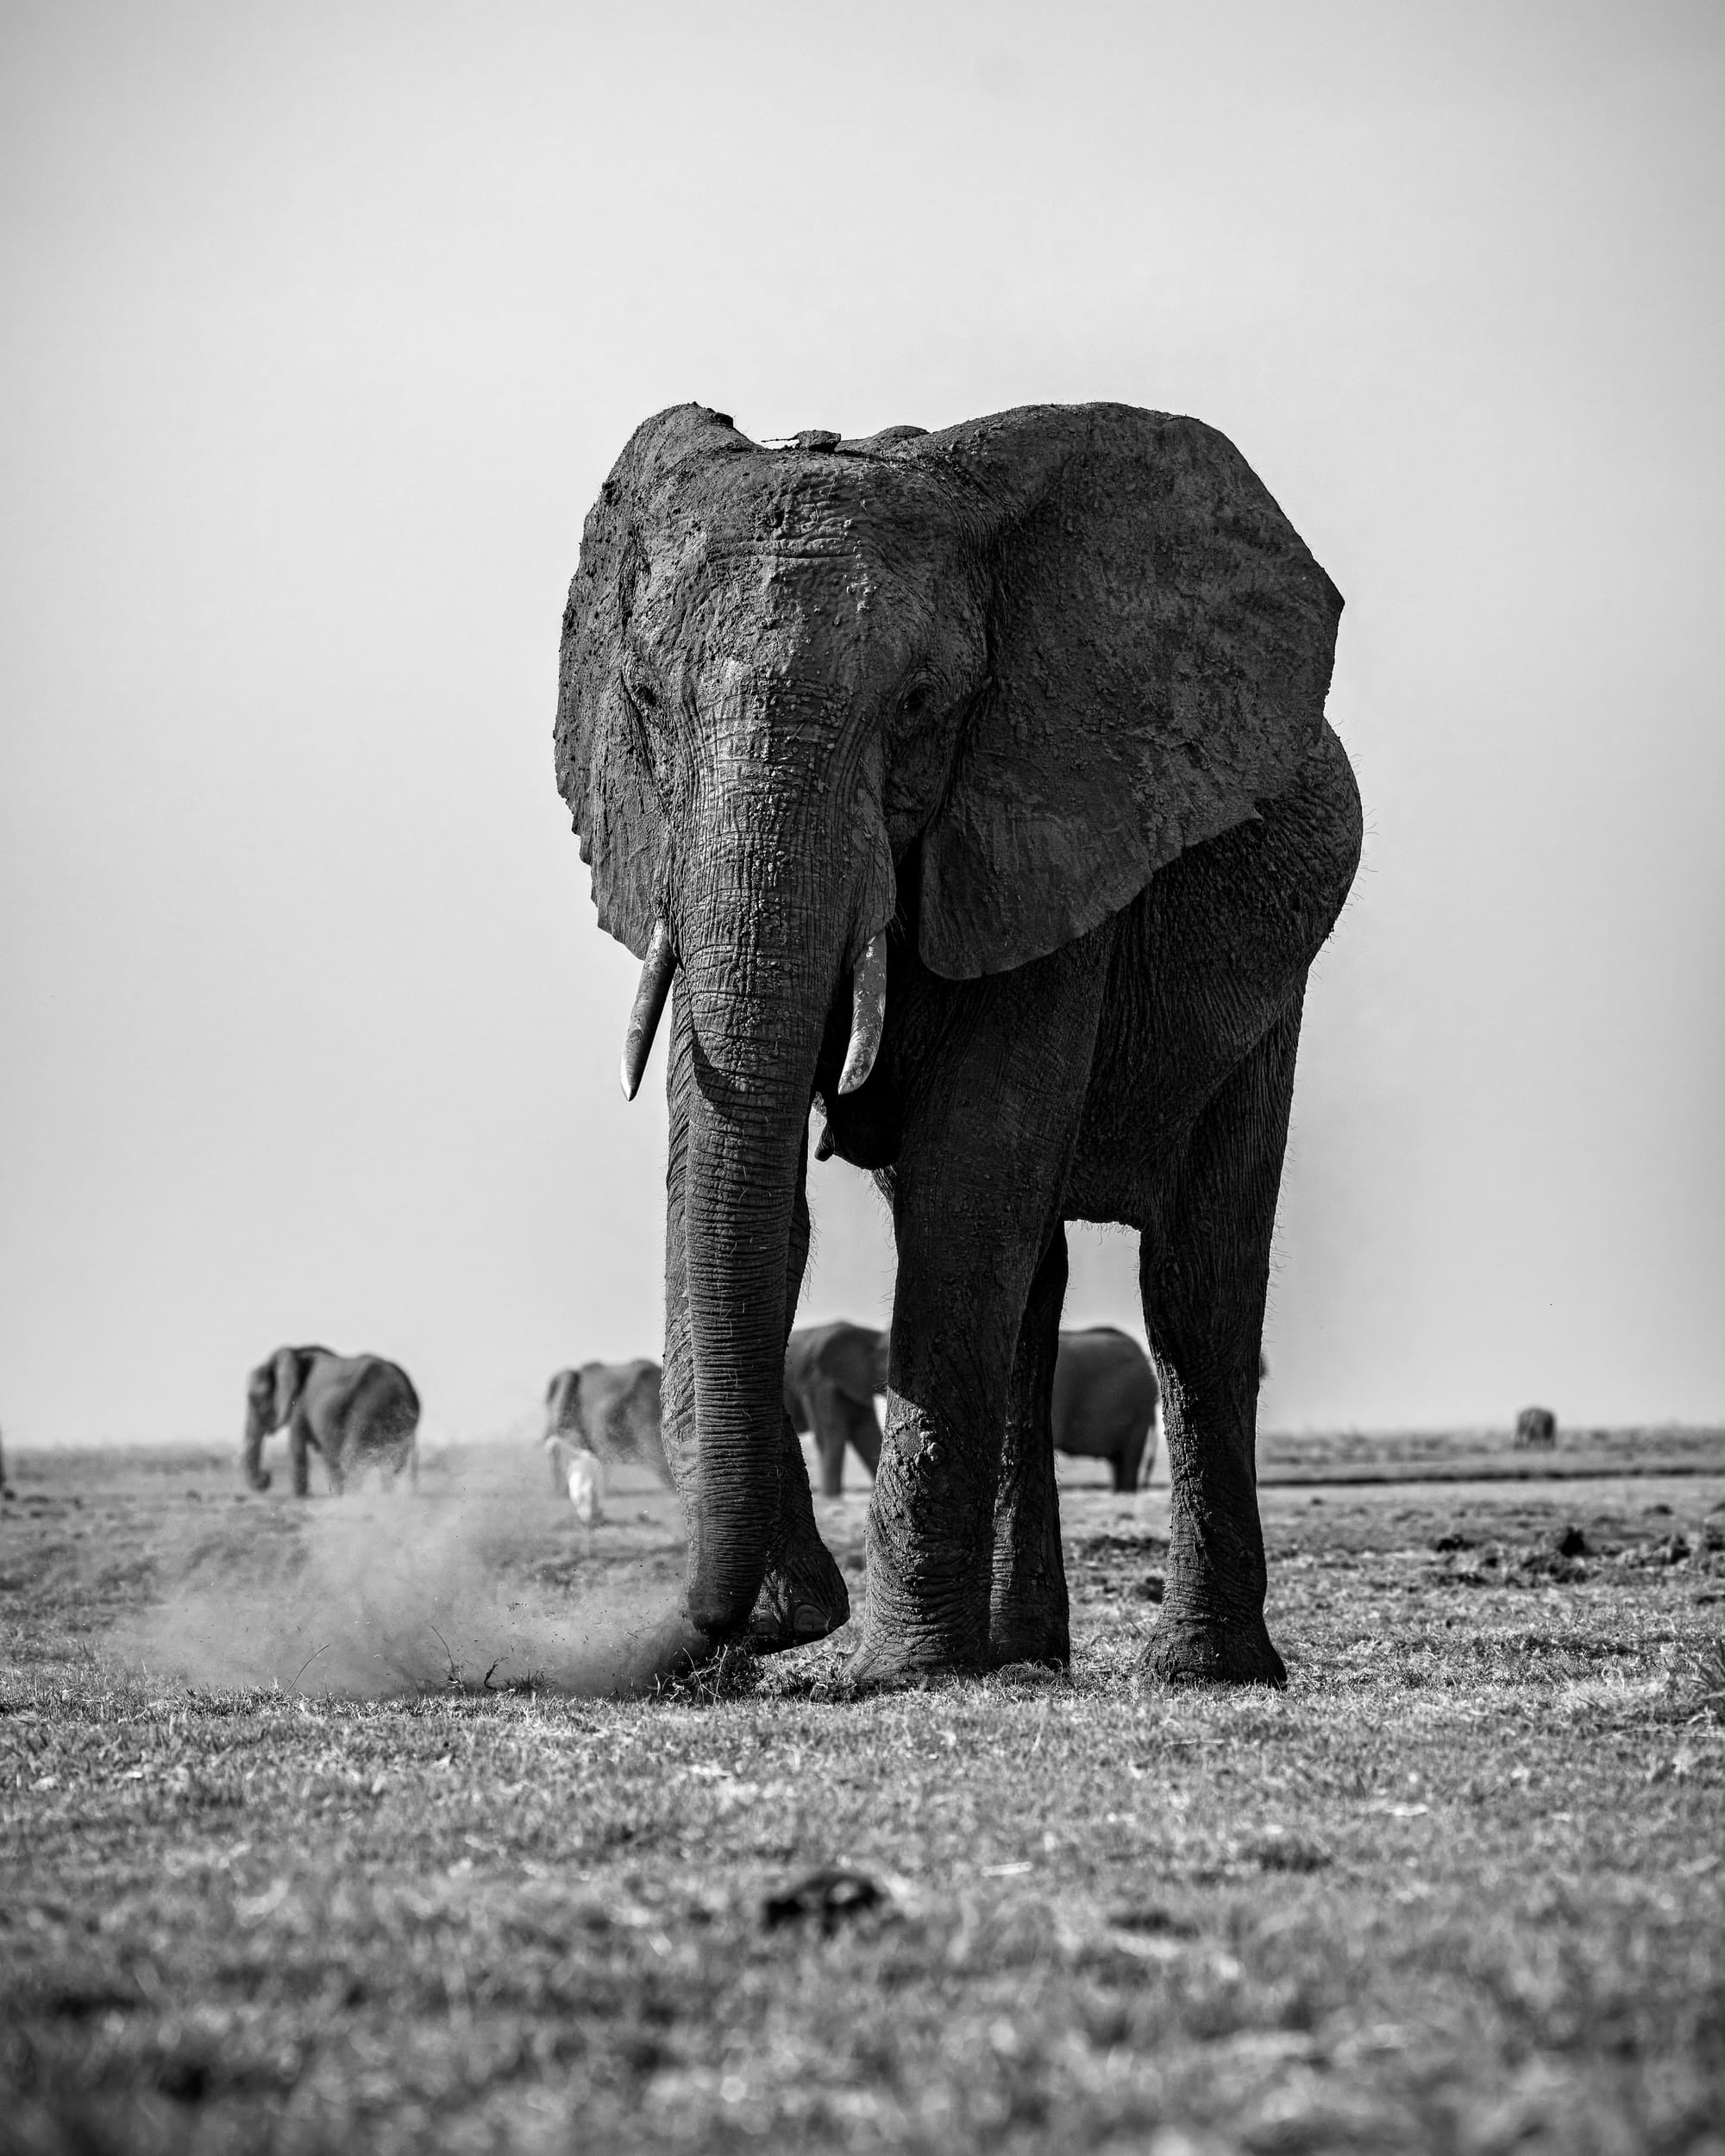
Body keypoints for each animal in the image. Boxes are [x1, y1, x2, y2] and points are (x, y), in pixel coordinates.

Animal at [242, 1346, 419, 1495]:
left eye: (255, 1399)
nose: (266, 1478)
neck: (296, 1352)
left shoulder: (300, 1404)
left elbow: (297, 1448)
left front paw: (301, 1497)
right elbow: (329, 1455)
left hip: (369, 1406)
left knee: (353, 1456)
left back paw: (353, 1499)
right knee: (393, 1462)